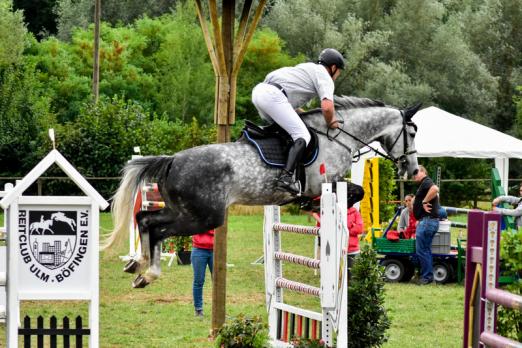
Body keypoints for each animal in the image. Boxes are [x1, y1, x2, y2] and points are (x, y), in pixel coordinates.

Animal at [104, 96, 418, 288]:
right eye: (412, 133)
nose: (413, 170)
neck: (337, 136)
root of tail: (172, 160)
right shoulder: (327, 181)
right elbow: (357, 192)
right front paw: (312, 206)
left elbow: (357, 193)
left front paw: (311, 207)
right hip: (204, 216)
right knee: (155, 227)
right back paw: (148, 272)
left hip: (184, 210)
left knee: (145, 219)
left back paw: (137, 265)